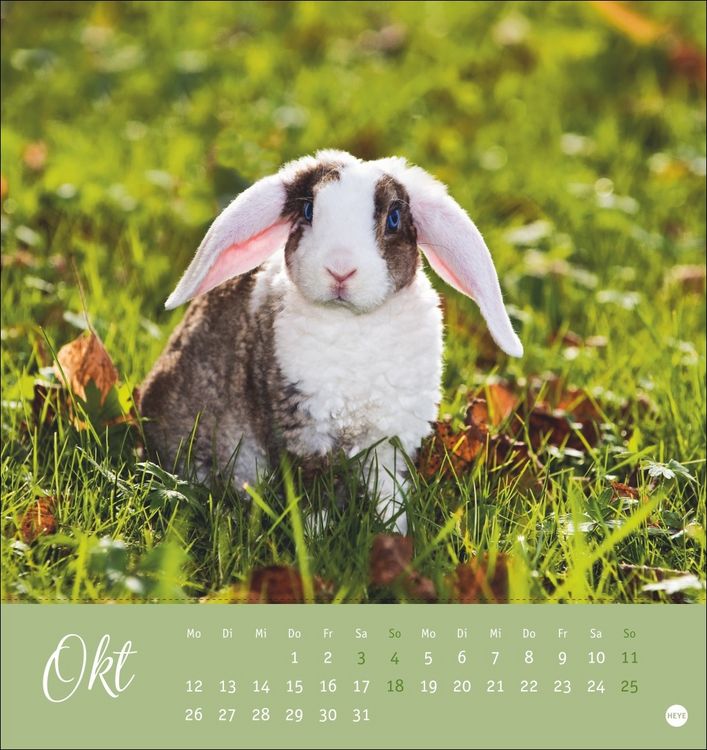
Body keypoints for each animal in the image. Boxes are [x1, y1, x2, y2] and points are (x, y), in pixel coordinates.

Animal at [139, 149, 522, 535]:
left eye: (394, 219)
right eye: (309, 210)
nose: (340, 269)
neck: (353, 323)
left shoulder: (388, 438)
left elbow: (389, 492)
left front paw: (395, 534)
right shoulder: (304, 430)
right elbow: (315, 494)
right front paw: (313, 536)